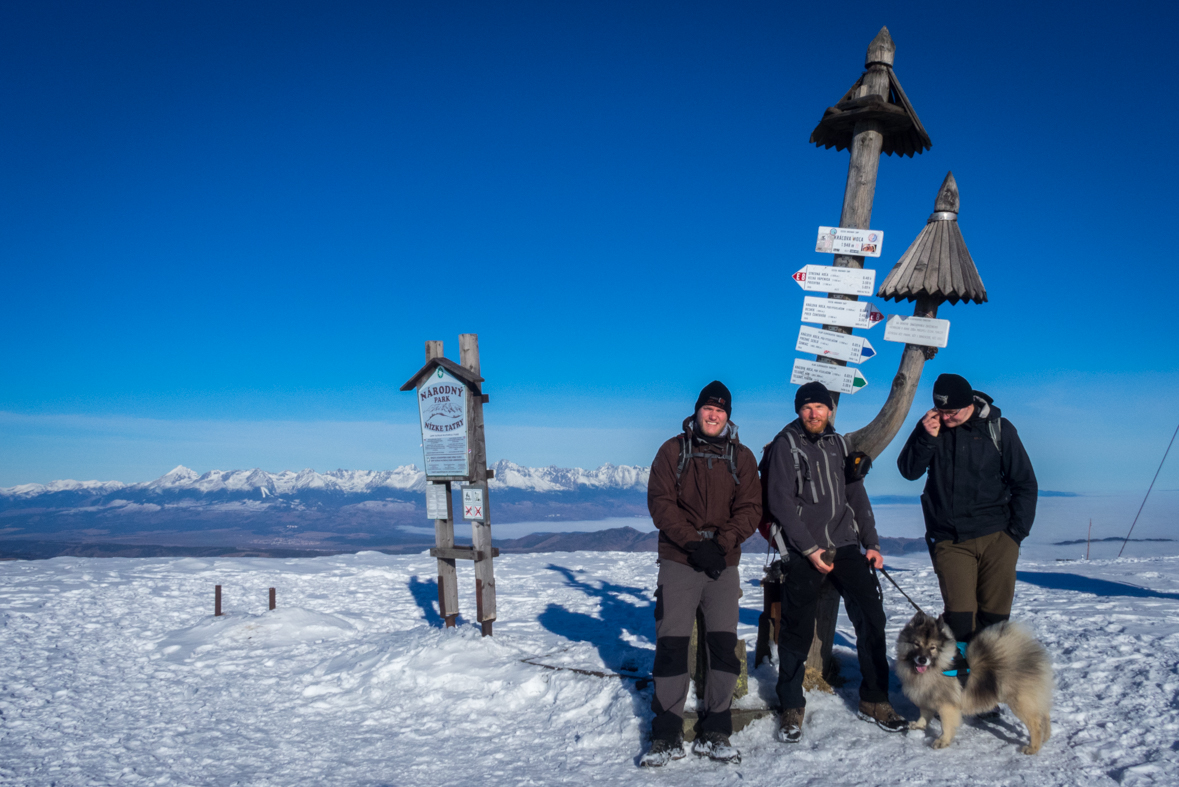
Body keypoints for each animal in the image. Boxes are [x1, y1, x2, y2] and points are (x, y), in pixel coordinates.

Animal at [896, 612, 1056, 754]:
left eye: (932, 647)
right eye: (916, 644)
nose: (922, 659)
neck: (939, 666)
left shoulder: (946, 704)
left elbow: (946, 725)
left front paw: (942, 741)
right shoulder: (926, 697)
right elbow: (924, 715)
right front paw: (919, 726)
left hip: (1020, 702)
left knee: (1035, 724)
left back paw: (1033, 748)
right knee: (1045, 715)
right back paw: (1046, 737)